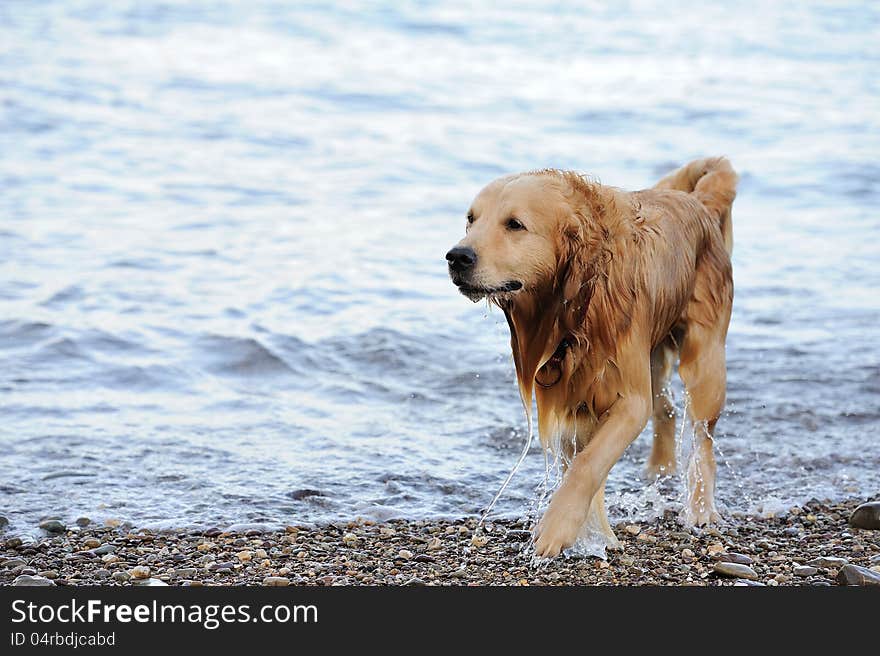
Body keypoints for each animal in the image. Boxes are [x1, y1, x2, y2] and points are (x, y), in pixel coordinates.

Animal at [446, 156, 736, 556]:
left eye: (514, 224)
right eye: (471, 220)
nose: (457, 256)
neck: (577, 301)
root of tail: (698, 204)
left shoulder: (629, 400)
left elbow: (588, 464)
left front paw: (556, 529)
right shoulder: (568, 394)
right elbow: (580, 461)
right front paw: (591, 535)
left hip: (705, 361)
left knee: (702, 435)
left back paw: (701, 509)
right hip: (653, 355)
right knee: (666, 408)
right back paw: (659, 469)